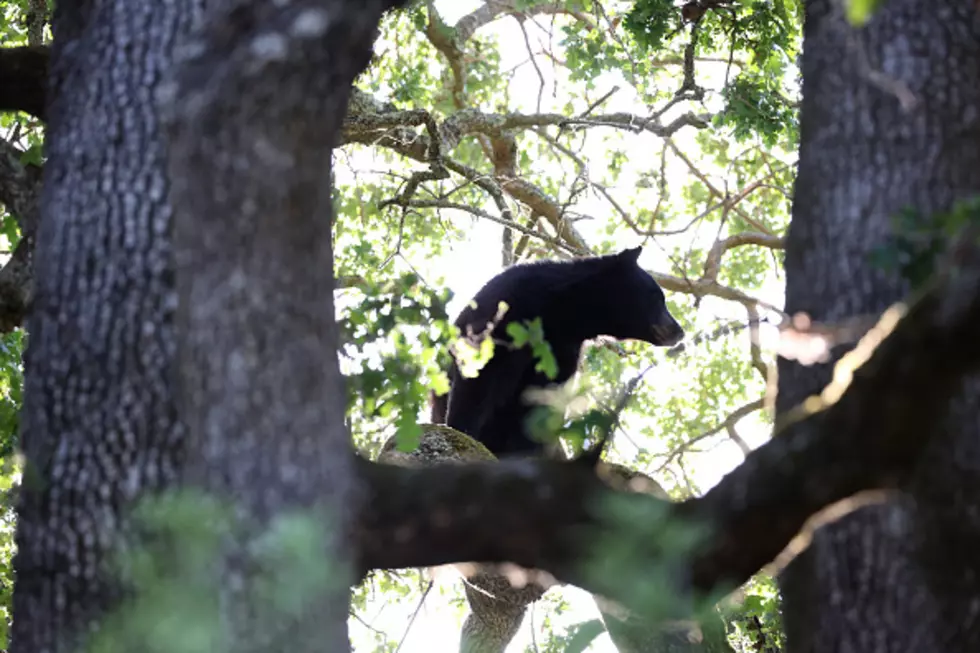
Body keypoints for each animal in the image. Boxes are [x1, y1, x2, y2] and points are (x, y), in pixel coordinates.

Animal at [430, 246, 684, 458]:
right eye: (657, 297)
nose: (679, 331)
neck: (562, 313)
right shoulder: (505, 314)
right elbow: (479, 374)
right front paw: (463, 432)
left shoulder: (562, 352)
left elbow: (542, 401)